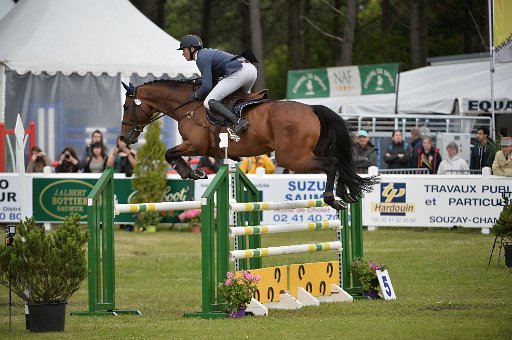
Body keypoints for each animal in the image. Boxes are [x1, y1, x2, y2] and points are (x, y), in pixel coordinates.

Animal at [119, 79, 376, 210]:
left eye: (126, 107)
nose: (124, 138)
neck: (188, 105)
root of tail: (312, 108)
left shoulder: (195, 145)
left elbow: (168, 153)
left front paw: (190, 172)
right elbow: (171, 153)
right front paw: (193, 172)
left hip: (292, 158)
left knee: (331, 163)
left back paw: (332, 198)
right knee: (340, 164)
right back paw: (345, 194)